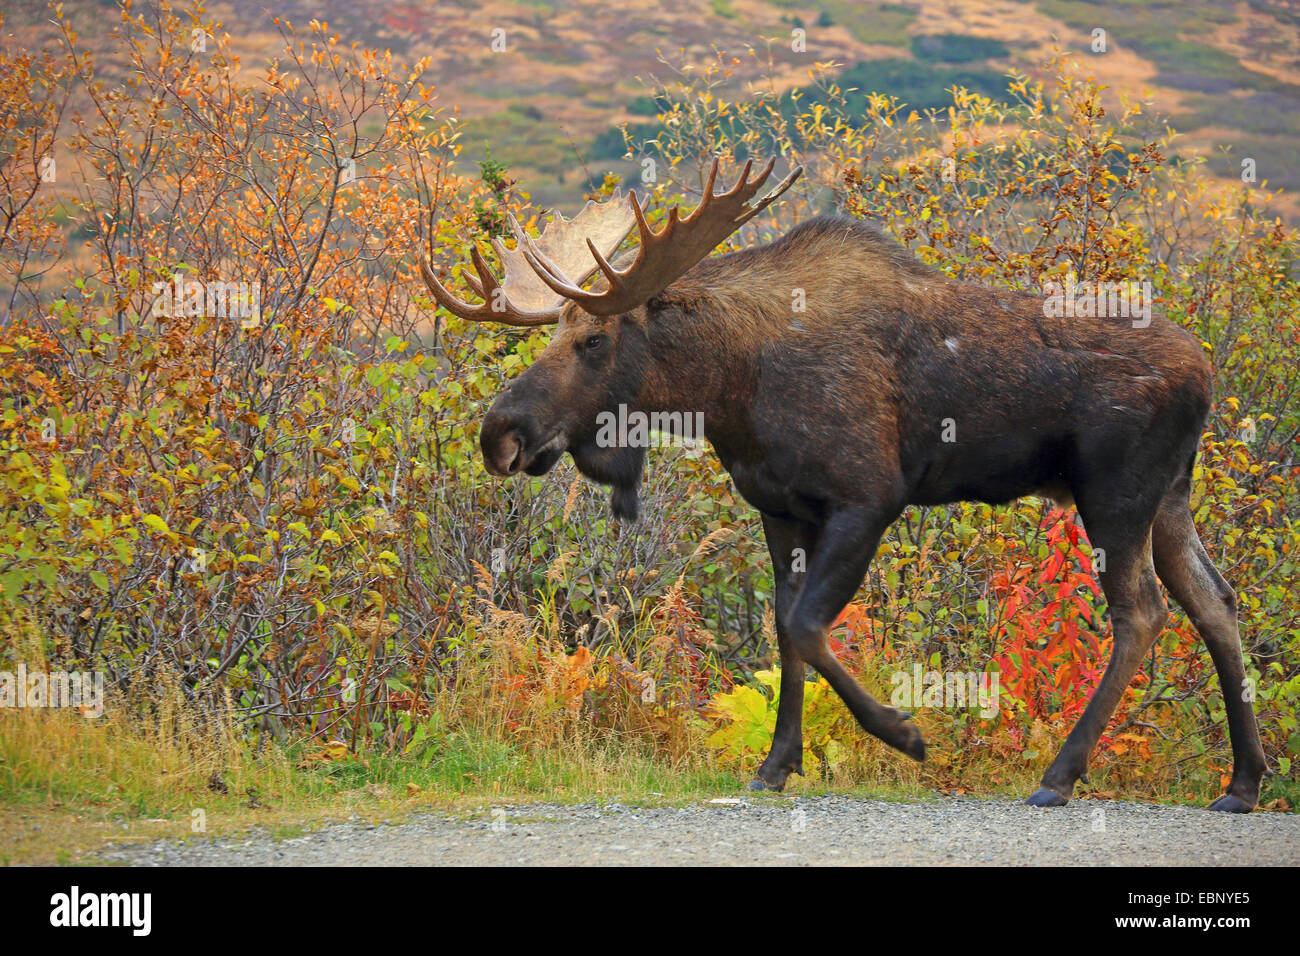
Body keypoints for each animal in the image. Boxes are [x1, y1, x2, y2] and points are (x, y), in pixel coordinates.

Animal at [420, 156, 1266, 813]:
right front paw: (775, 764)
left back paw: (1060, 775)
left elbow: (804, 628)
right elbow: (783, 628)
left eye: (593, 341)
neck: (729, 388)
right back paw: (1243, 784)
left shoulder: (869, 497)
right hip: (1170, 498)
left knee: (1143, 614)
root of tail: (1208, 371)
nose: (501, 433)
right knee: (1215, 604)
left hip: (1115, 493)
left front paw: (906, 733)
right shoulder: (779, 508)